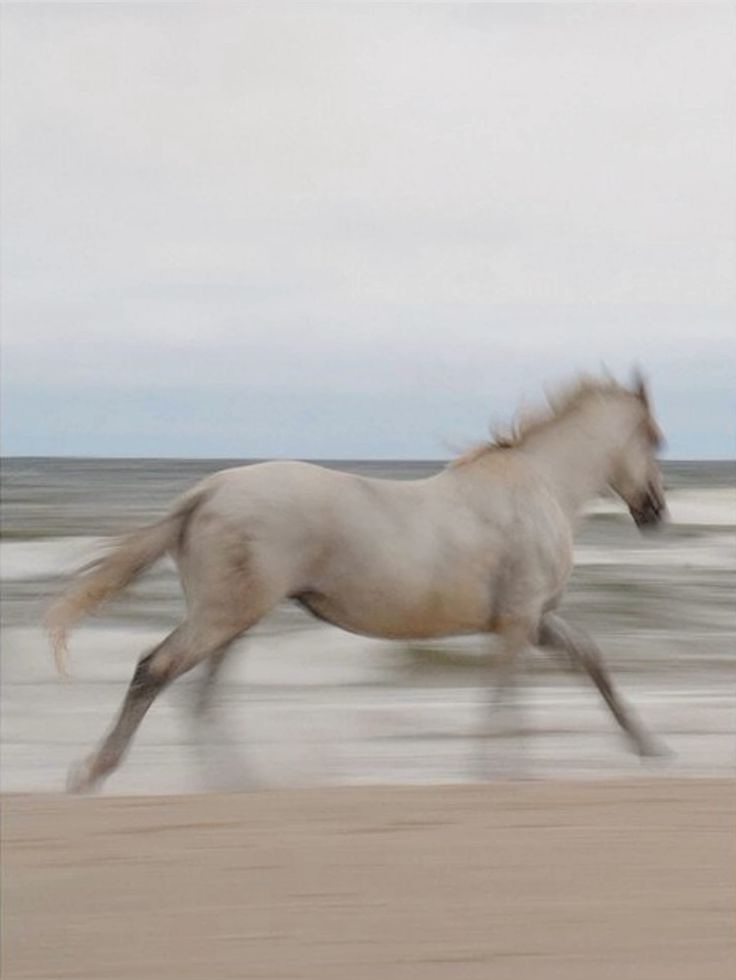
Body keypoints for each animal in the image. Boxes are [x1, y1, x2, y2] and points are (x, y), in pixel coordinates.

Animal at [47, 371, 667, 793]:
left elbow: (588, 661)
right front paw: (494, 770)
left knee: (199, 697)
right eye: (653, 438)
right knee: (153, 671)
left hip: (233, 621)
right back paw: (96, 771)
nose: (656, 512)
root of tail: (208, 491)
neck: (540, 488)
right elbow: (503, 693)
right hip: (222, 616)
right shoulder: (518, 622)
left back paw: (237, 782)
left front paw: (648, 745)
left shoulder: (534, 621)